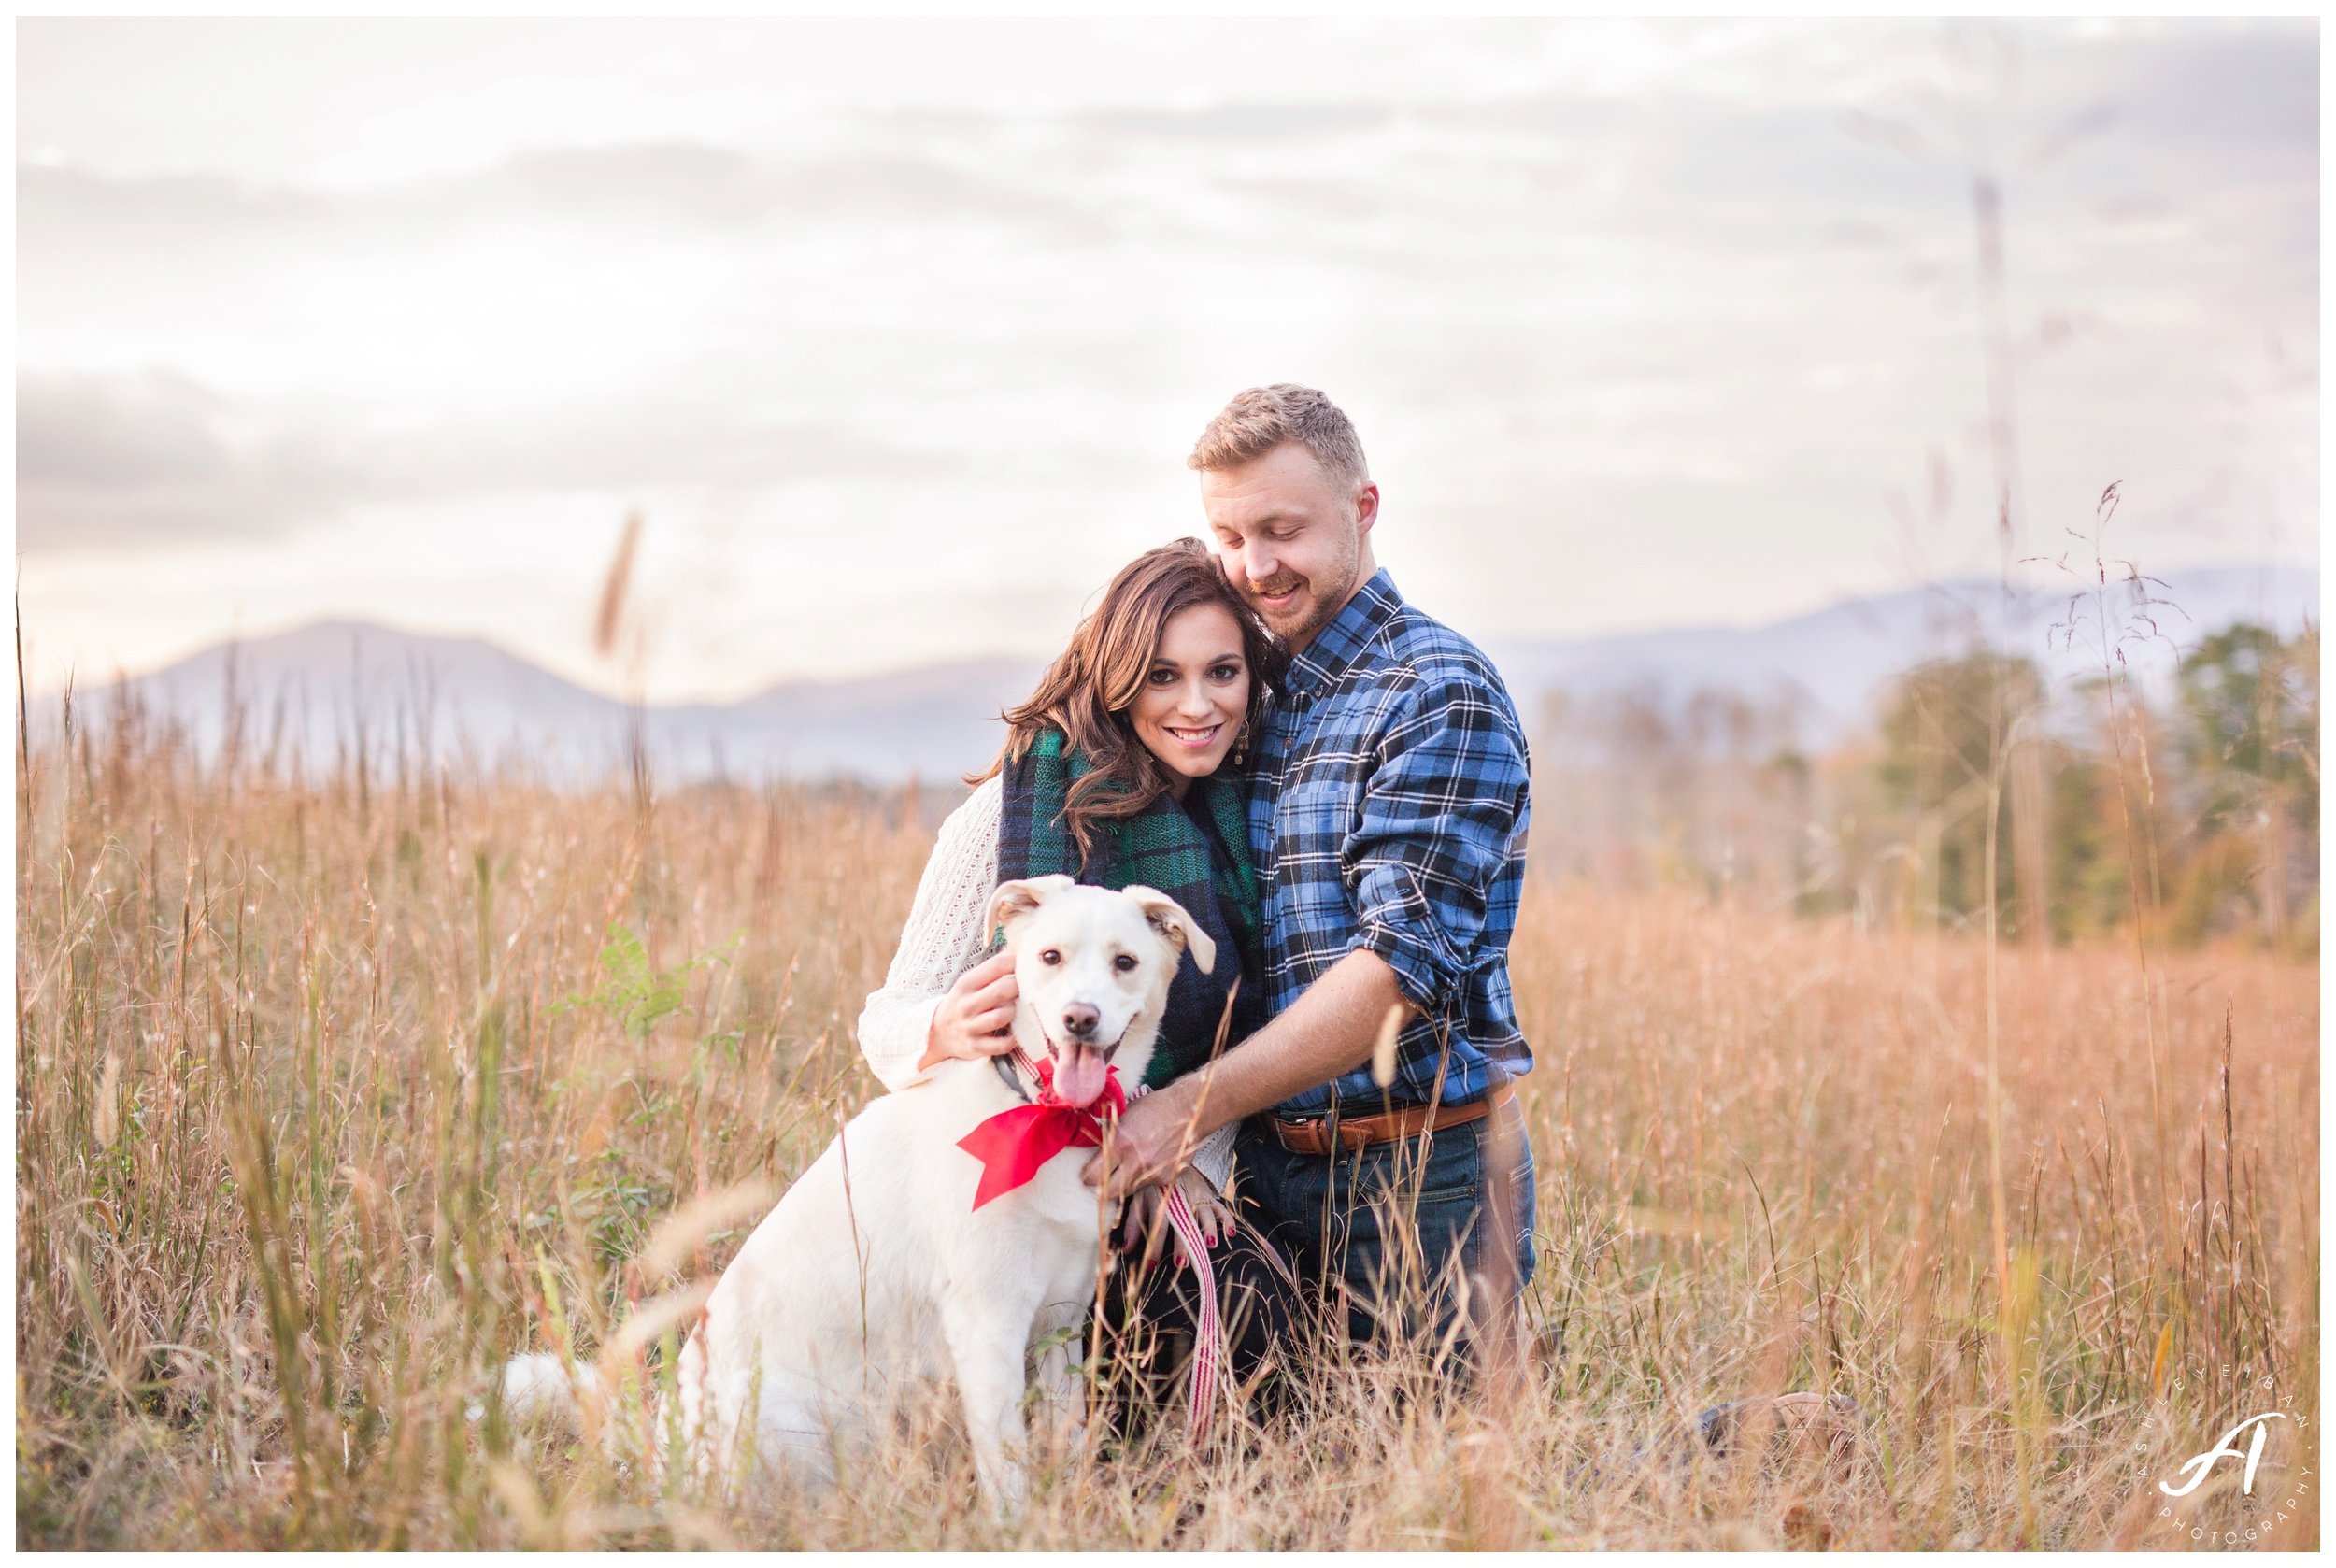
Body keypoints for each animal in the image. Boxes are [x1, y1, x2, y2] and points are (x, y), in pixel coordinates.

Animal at [502, 878, 1215, 1514]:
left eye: (1125, 962)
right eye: (1050, 958)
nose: (1080, 1019)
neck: (1048, 1117)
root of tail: (657, 1455)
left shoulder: (1060, 1325)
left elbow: (1063, 1443)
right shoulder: (987, 1327)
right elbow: (1006, 1468)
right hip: (787, 1419)